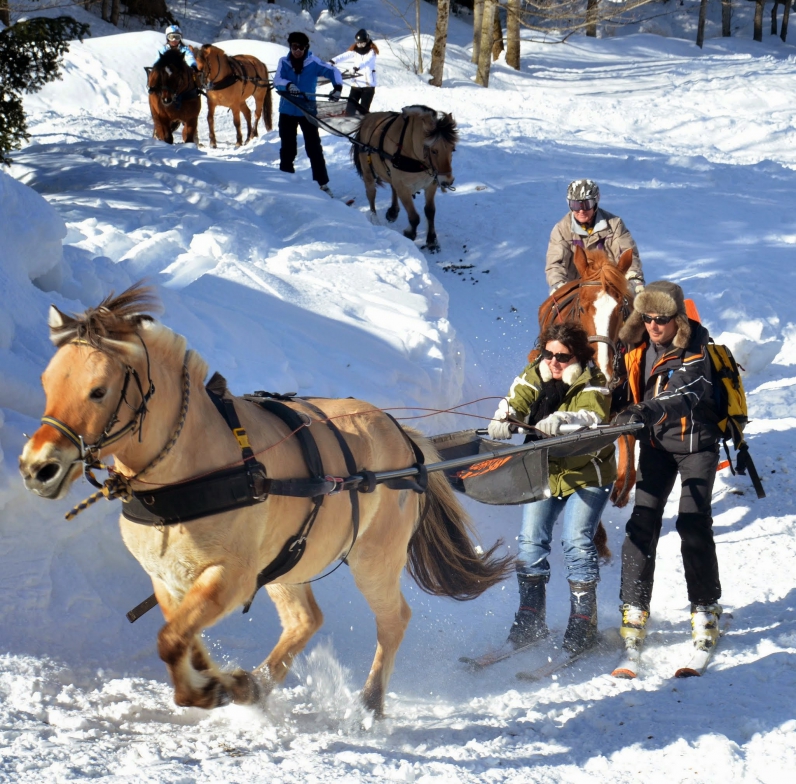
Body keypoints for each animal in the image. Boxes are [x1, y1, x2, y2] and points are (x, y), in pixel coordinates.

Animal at [20, 284, 516, 716]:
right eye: (46, 381)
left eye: (98, 390)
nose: (38, 467)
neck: (186, 475)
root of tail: (401, 435)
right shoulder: (167, 579)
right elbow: (183, 640)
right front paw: (216, 681)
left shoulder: (231, 578)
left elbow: (171, 640)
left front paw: (207, 691)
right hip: (288, 562)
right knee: (305, 620)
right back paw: (253, 685)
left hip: (373, 558)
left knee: (393, 620)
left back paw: (369, 703)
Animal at [352, 105, 458, 253]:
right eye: (434, 151)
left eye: (453, 149)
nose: (448, 181)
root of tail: (367, 118)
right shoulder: (404, 188)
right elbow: (414, 216)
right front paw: (410, 233)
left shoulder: (430, 185)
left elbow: (430, 211)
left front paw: (432, 240)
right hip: (368, 173)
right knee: (371, 194)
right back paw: (375, 219)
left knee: (392, 187)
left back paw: (393, 211)